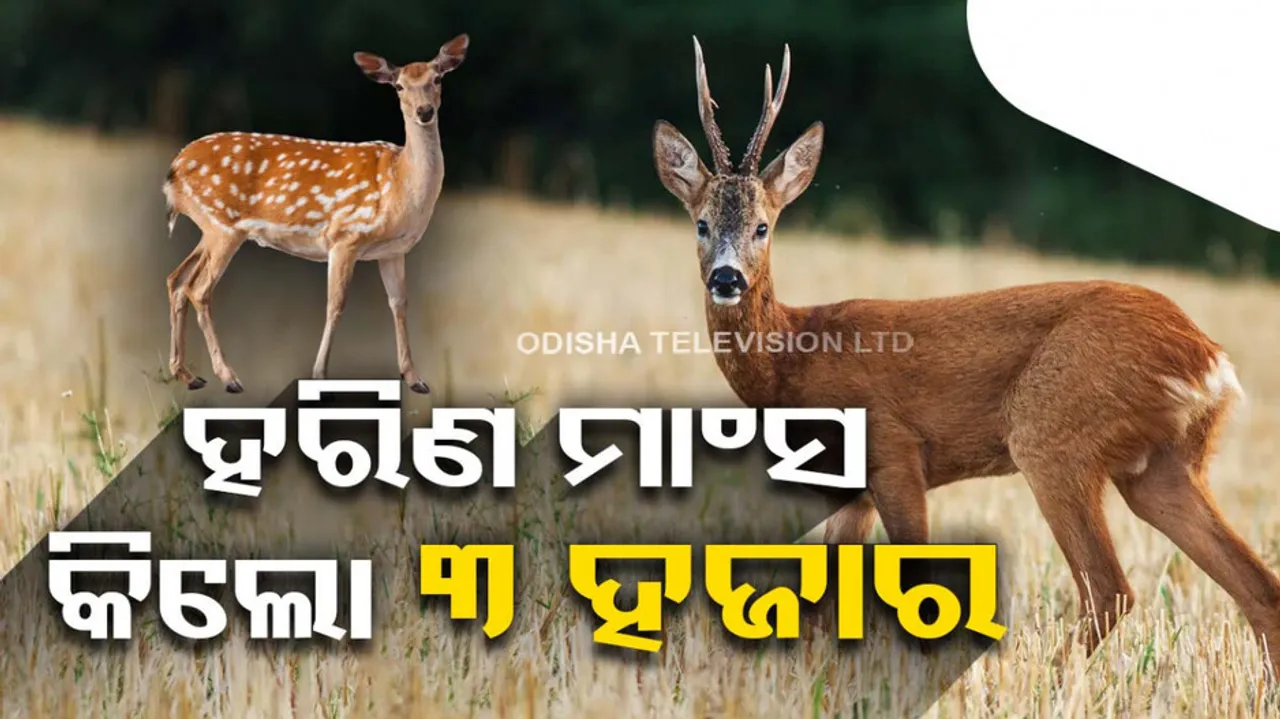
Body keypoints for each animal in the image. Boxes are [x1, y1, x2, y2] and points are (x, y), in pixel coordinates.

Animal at [160, 33, 470, 395]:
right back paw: (229, 377)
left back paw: (187, 375)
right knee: (198, 289)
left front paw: (415, 379)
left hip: (210, 227)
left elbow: (399, 304)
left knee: (177, 280)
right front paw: (320, 375)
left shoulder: (392, 251)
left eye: (438, 79)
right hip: (223, 225)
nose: (424, 111)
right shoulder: (345, 235)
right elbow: (335, 305)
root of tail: (174, 168)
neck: (400, 185)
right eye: (399, 86)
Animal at [653, 36, 1280, 676]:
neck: (793, 359)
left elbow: (917, 588)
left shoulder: (895, 453)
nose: (727, 278)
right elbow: (822, 607)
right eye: (701, 224)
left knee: (1110, 590)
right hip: (1163, 465)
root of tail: (1208, 358)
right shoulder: (850, 490)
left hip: (1053, 433)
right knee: (1259, 589)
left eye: (762, 226)